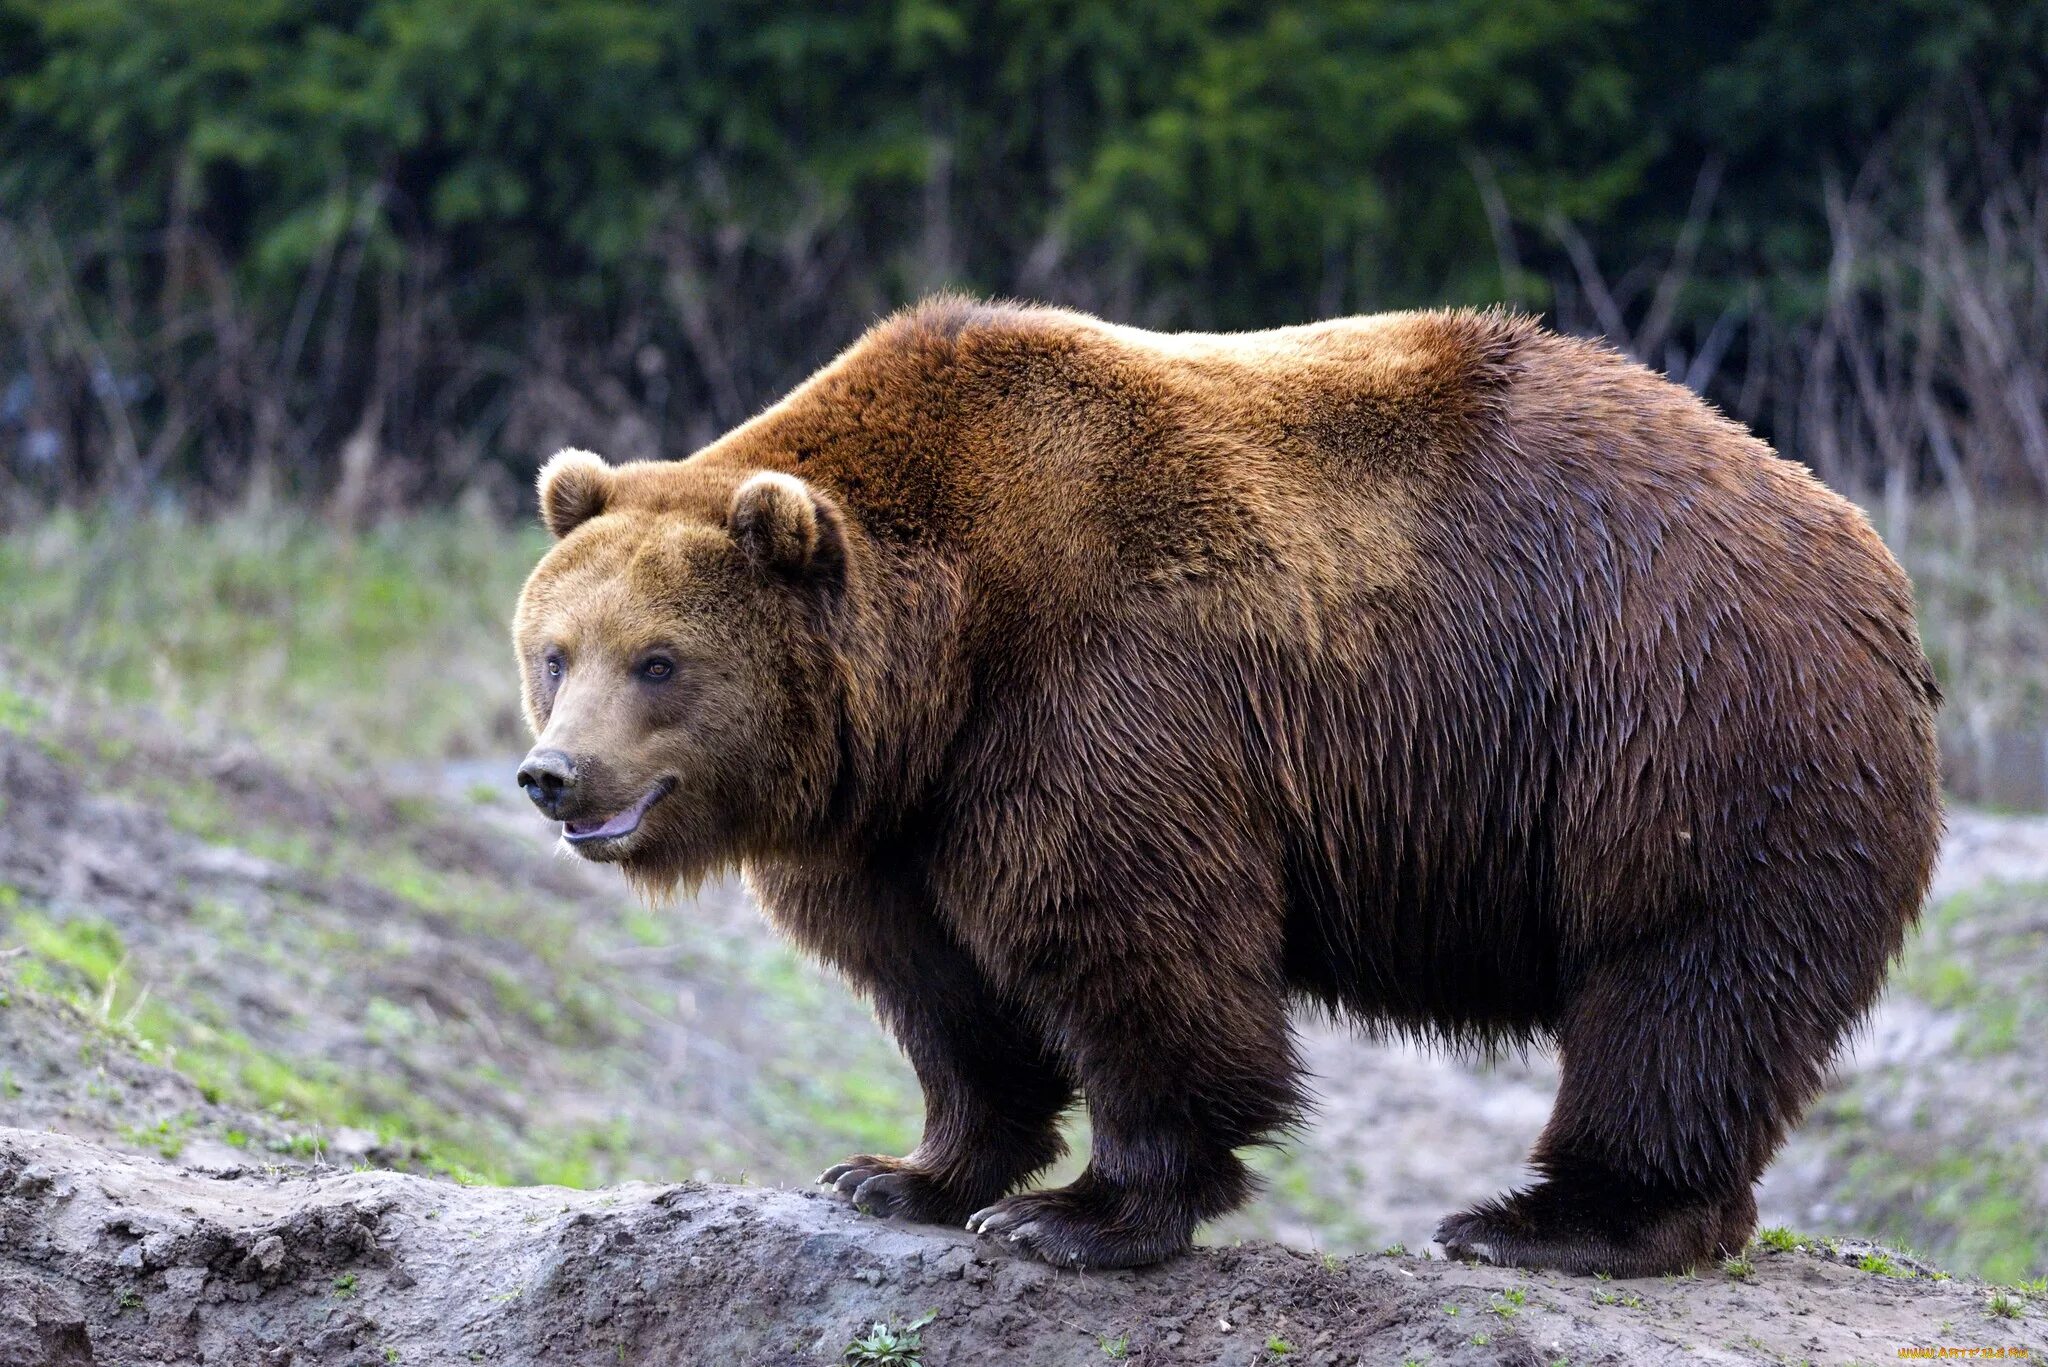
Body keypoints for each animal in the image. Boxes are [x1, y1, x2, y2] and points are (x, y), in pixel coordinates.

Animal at [507, 295, 1933, 1278]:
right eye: (554, 651)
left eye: (658, 659)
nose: (552, 774)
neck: (937, 662)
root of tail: (1847, 532)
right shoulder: (898, 815)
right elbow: (941, 987)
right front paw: (896, 1171)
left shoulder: (1101, 696)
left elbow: (1132, 943)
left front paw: (1073, 1214)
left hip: (1676, 719)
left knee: (1680, 976)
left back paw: (1545, 1218)